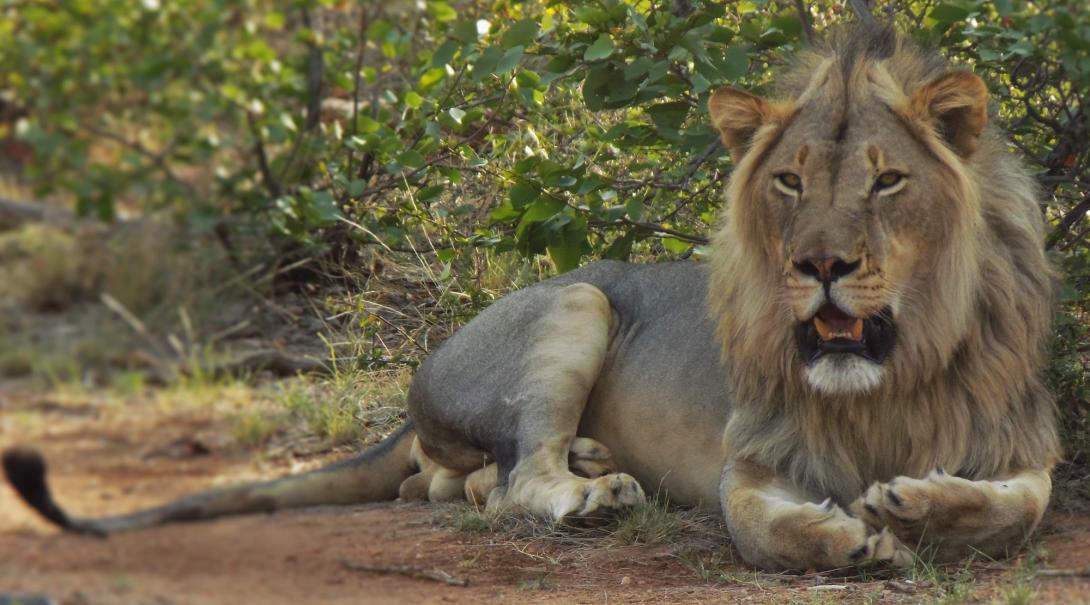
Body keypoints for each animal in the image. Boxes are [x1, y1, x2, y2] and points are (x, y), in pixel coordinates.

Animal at [0, 24, 1055, 571]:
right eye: (789, 182)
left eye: (887, 181)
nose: (819, 263)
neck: (884, 380)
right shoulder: (750, 458)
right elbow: (762, 526)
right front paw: (849, 534)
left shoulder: (1026, 448)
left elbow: (1019, 509)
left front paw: (918, 503)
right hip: (576, 301)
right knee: (509, 483)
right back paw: (592, 492)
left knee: (460, 481)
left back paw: (593, 462)